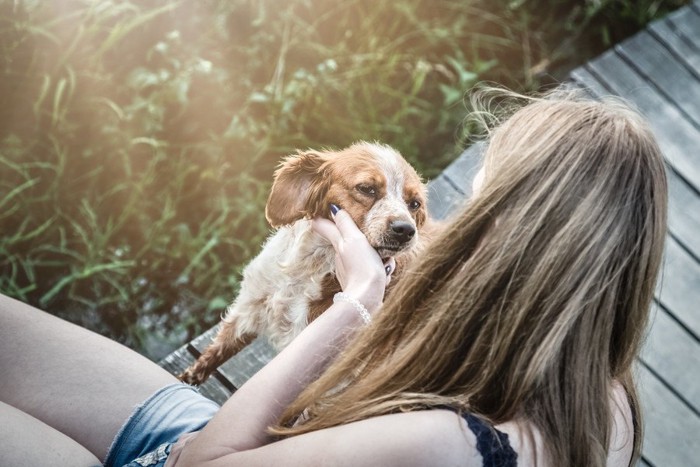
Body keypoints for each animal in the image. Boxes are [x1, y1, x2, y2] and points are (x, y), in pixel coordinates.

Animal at [179, 141, 426, 386]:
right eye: (367, 188)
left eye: (414, 204)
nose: (406, 230)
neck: (311, 264)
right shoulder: (250, 307)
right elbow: (215, 352)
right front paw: (186, 379)